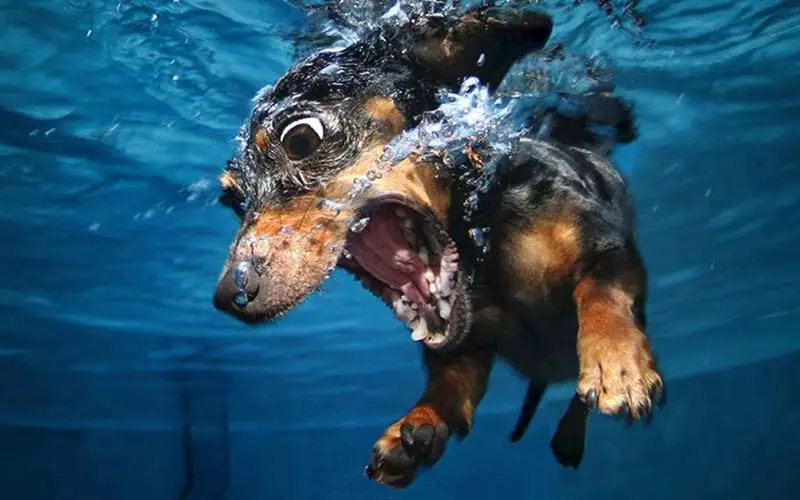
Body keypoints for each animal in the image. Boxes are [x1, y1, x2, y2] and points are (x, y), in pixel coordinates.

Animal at [211, 3, 664, 488]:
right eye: (233, 201)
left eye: (301, 138)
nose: (227, 297)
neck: (478, 243)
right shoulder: (465, 348)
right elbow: (450, 388)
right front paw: (417, 426)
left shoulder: (611, 250)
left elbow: (601, 292)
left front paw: (617, 361)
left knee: (579, 397)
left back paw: (572, 431)